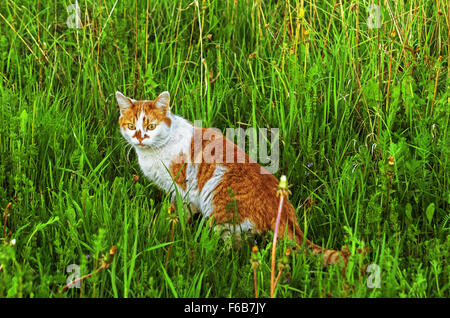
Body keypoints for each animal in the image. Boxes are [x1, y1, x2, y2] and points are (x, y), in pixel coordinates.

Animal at [115, 90, 348, 266]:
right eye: (131, 126)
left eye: (151, 126)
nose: (139, 137)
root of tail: (281, 208)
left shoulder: (181, 191)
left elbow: (176, 216)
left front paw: (164, 231)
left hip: (221, 214)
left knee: (232, 251)